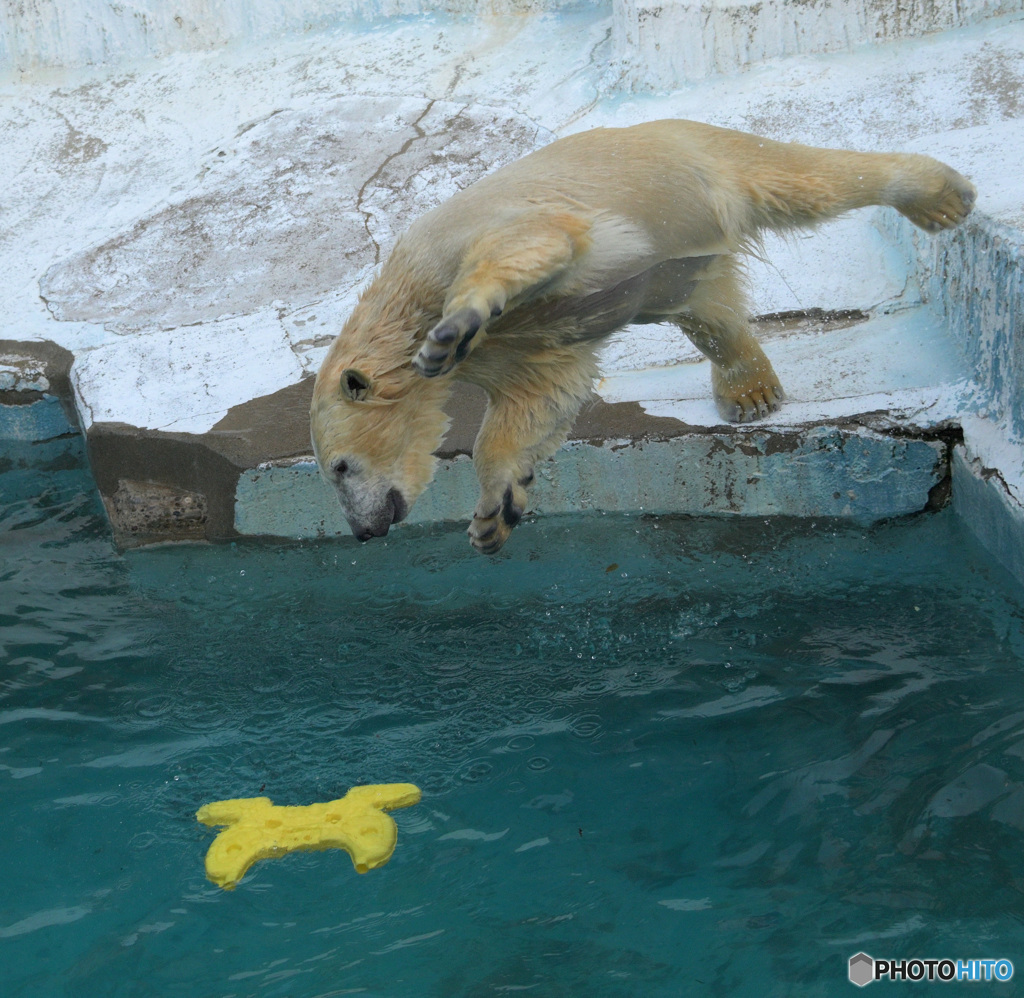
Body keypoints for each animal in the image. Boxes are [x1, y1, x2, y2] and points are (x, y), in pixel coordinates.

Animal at [311, 119, 974, 552]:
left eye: (339, 467)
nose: (362, 531)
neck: (404, 295)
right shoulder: (518, 349)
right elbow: (537, 398)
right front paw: (495, 512)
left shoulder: (466, 241)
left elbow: (528, 245)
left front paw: (449, 334)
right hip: (682, 267)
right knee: (708, 315)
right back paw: (749, 390)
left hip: (700, 165)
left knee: (805, 179)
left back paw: (940, 196)